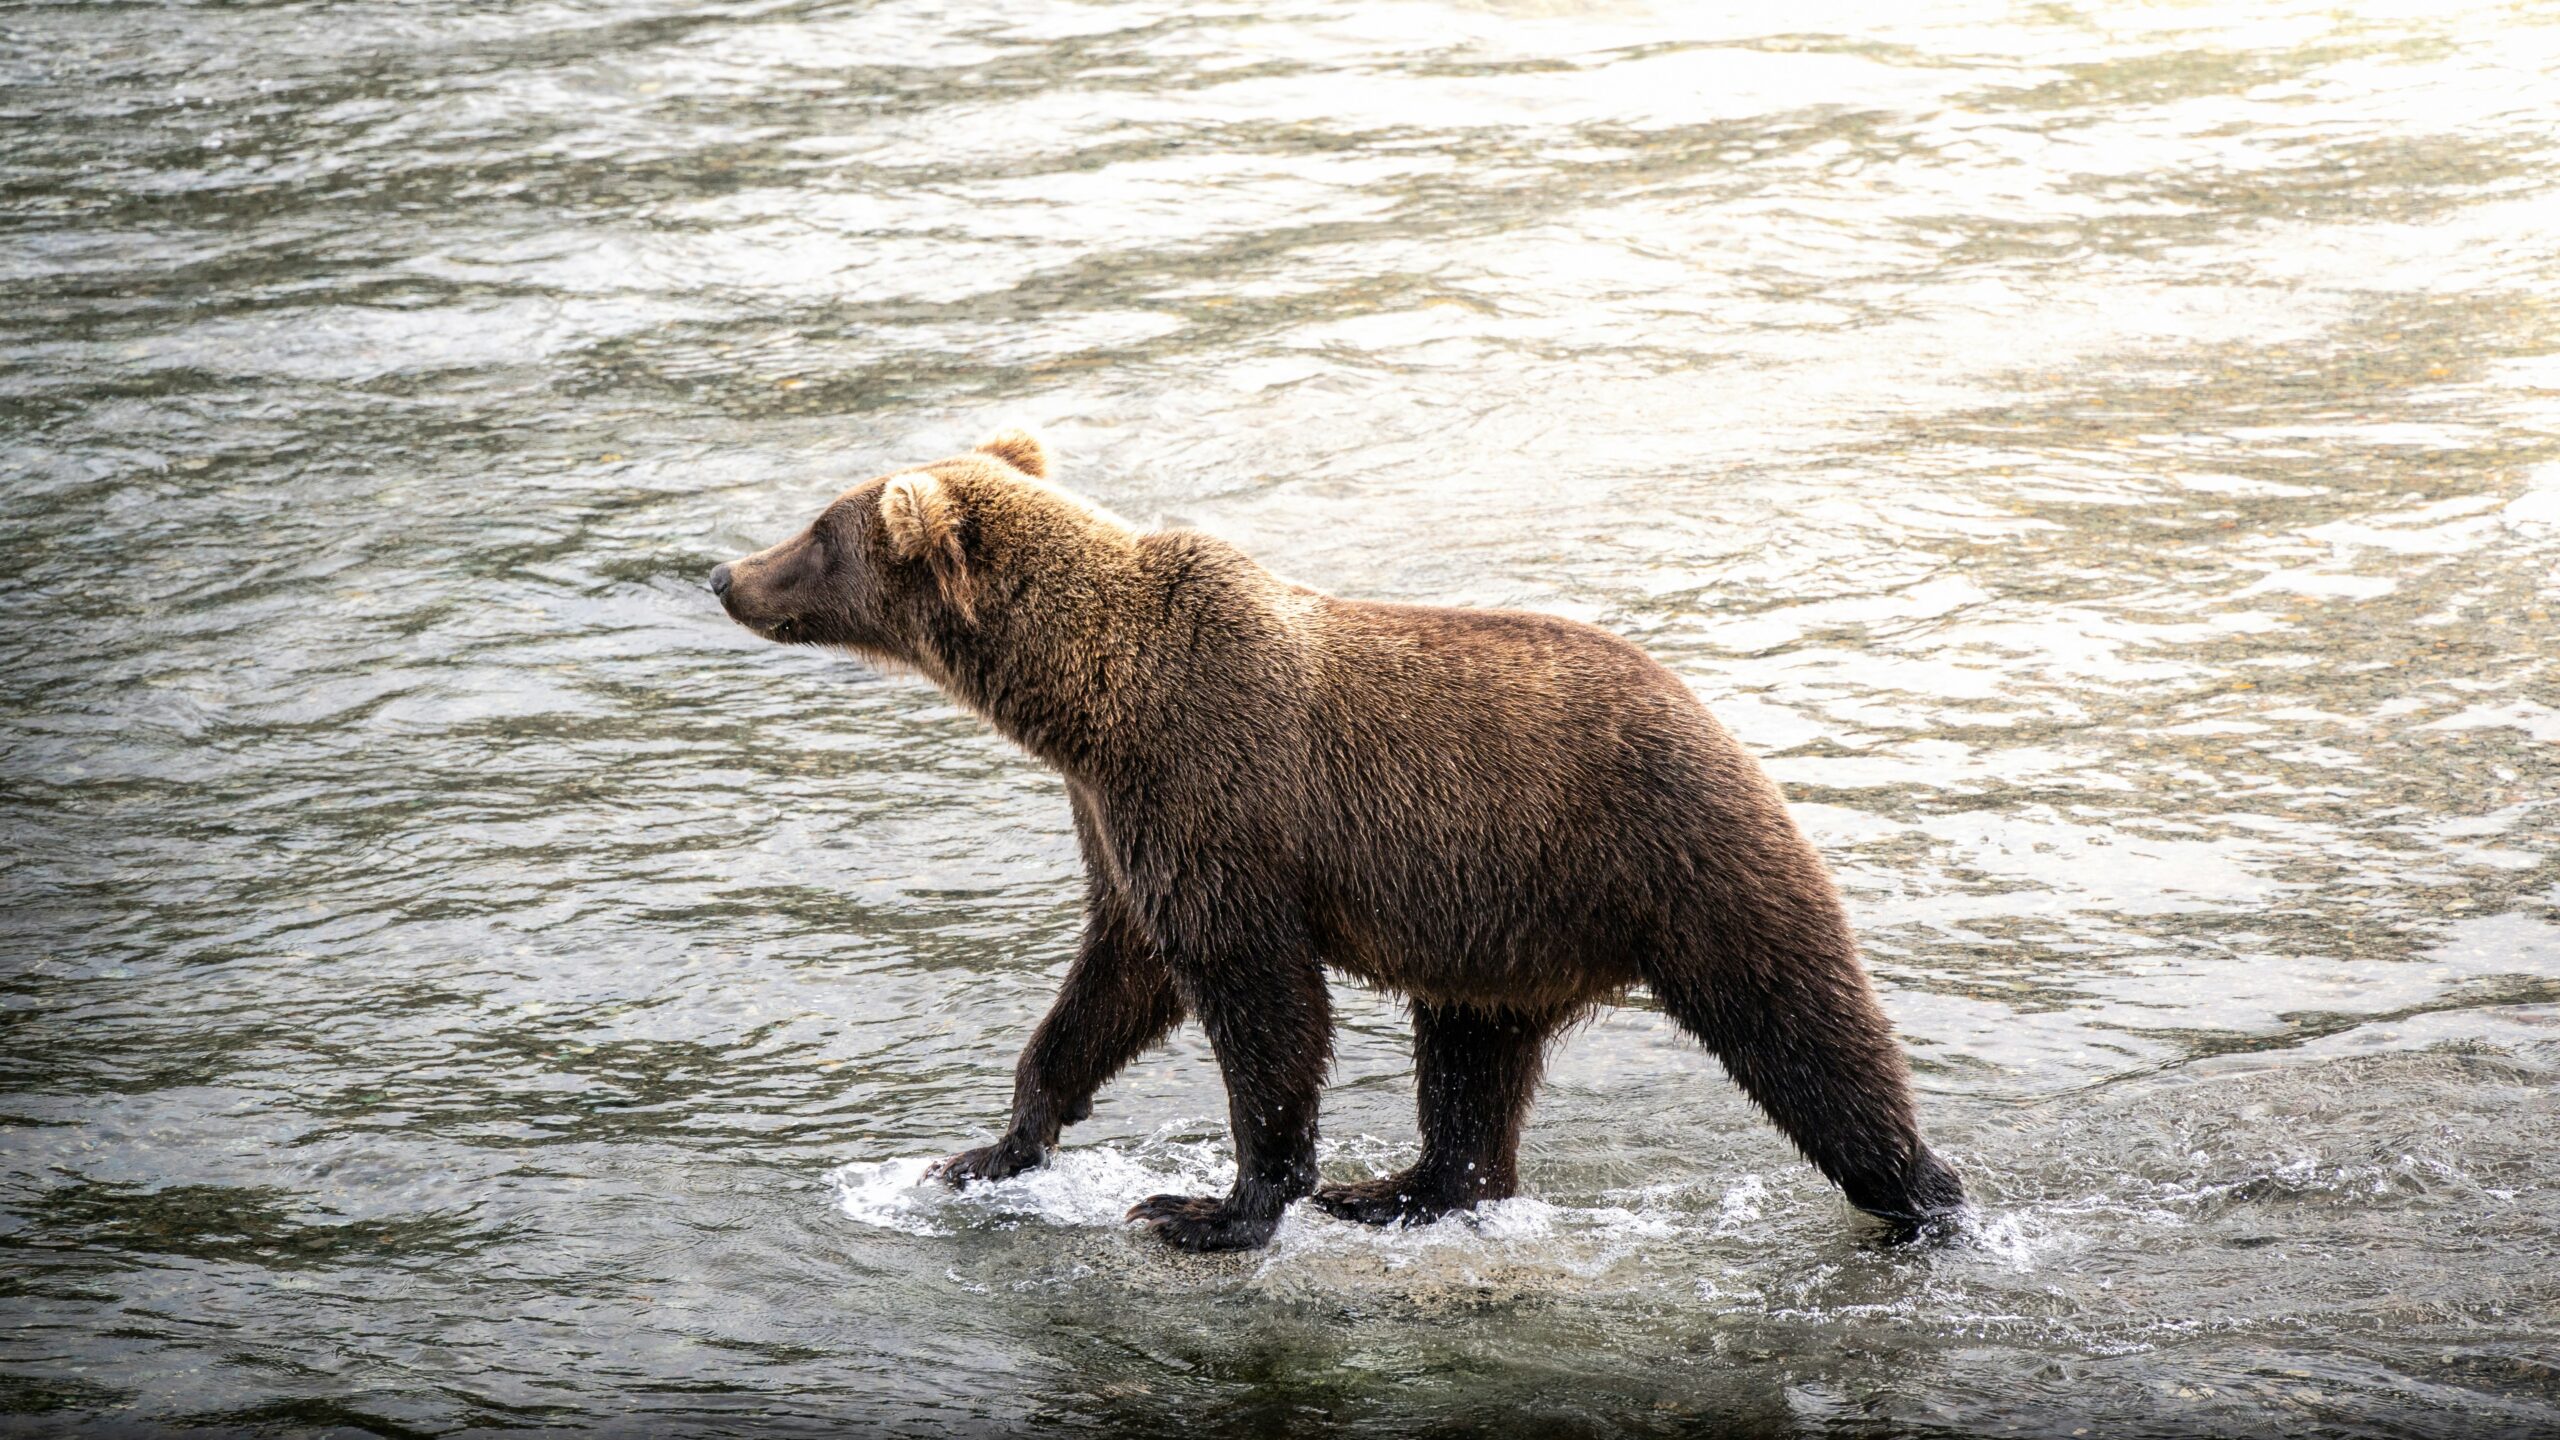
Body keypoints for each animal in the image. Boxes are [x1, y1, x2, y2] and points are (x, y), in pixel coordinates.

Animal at [711, 425, 1966, 1245]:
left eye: (818, 532)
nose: (724, 572)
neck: (1085, 704)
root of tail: (1720, 726)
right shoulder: (1116, 818)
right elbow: (1113, 979)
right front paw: (993, 1146)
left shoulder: (1210, 792)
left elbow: (1257, 998)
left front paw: (1211, 1205)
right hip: (1498, 925)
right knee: (1470, 1060)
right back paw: (1403, 1188)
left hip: (1670, 856)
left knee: (1803, 1029)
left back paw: (1923, 1197)